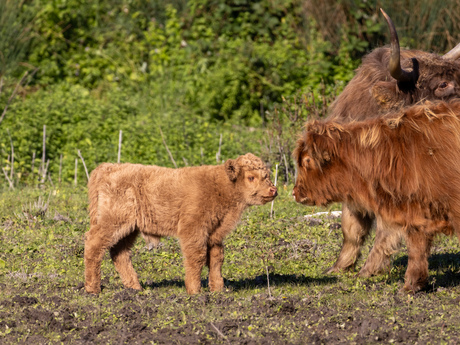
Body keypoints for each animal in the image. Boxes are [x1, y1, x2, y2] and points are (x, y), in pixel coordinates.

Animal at [83, 153, 276, 292]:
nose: (273, 190)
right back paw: (93, 289)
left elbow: (216, 258)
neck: (220, 185)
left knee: (119, 253)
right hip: (113, 221)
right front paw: (194, 291)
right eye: (251, 177)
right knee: (94, 244)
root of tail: (108, 167)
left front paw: (218, 289)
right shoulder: (193, 230)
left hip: (130, 229)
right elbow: (196, 257)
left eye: (266, 175)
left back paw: (135, 288)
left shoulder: (214, 234)